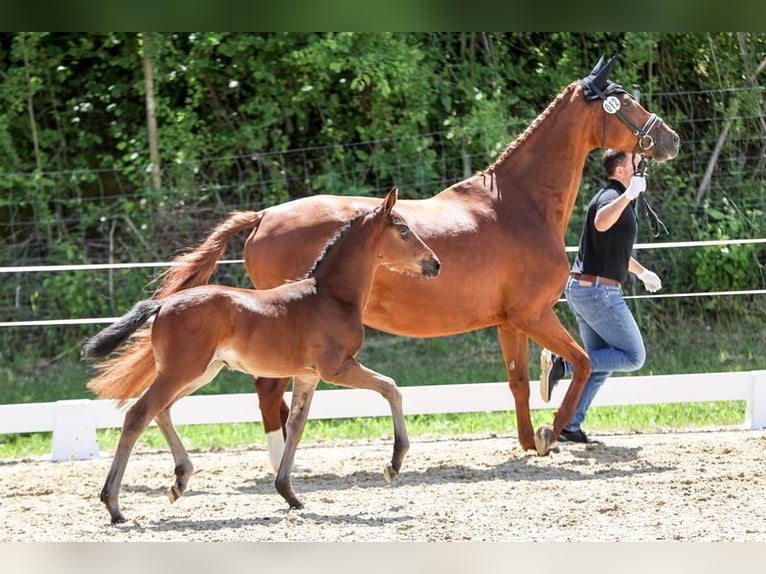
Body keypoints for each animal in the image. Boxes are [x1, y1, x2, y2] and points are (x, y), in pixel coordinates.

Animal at [83, 188, 441, 523]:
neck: (330, 296)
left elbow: (296, 424)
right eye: (404, 230)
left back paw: (179, 481)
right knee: (138, 414)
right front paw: (393, 464)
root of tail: (163, 304)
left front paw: (289, 494)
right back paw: (114, 506)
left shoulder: (308, 375)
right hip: (181, 372)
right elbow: (391, 387)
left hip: (200, 373)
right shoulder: (337, 368)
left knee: (161, 411)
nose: (435, 263)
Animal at [112, 55, 681, 470]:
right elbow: (582, 363)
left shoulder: (508, 321)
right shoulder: (534, 313)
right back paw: (283, 464)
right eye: (625, 102)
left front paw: (528, 440)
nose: (670, 138)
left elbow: (519, 380)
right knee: (268, 389)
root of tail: (264, 214)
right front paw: (550, 432)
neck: (516, 205)